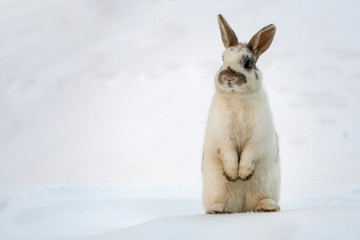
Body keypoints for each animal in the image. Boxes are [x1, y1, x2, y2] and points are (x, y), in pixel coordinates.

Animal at [201, 14, 280, 214]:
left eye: (247, 63)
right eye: (222, 59)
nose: (228, 78)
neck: (238, 97)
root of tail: (243, 208)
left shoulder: (258, 137)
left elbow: (248, 153)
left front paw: (243, 174)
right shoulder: (223, 136)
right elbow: (229, 154)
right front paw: (232, 174)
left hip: (267, 186)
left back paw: (266, 206)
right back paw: (219, 209)